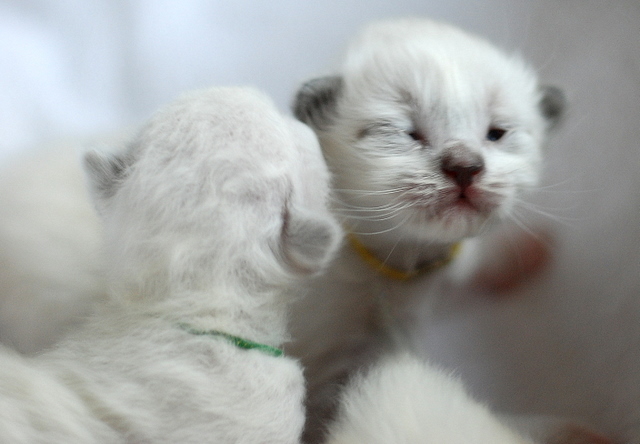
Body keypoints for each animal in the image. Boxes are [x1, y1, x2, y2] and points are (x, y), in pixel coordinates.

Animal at [288, 18, 564, 444]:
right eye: (406, 132)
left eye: (496, 133)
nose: (465, 167)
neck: (403, 268)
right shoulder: (326, 362)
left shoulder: (443, 275)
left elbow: (479, 265)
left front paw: (531, 250)